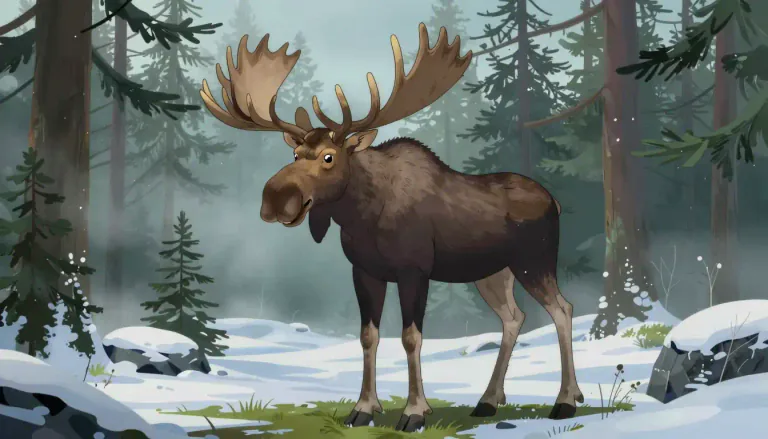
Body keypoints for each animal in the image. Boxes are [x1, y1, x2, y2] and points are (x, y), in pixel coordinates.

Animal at [200, 23, 584, 432]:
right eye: (294, 153)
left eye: (328, 157)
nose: (274, 197)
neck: (363, 215)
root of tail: (556, 202)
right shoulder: (365, 270)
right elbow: (368, 336)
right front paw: (364, 408)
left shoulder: (414, 270)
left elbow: (411, 337)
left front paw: (414, 411)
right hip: (493, 273)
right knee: (514, 318)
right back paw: (488, 400)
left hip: (534, 261)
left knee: (562, 309)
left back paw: (566, 400)